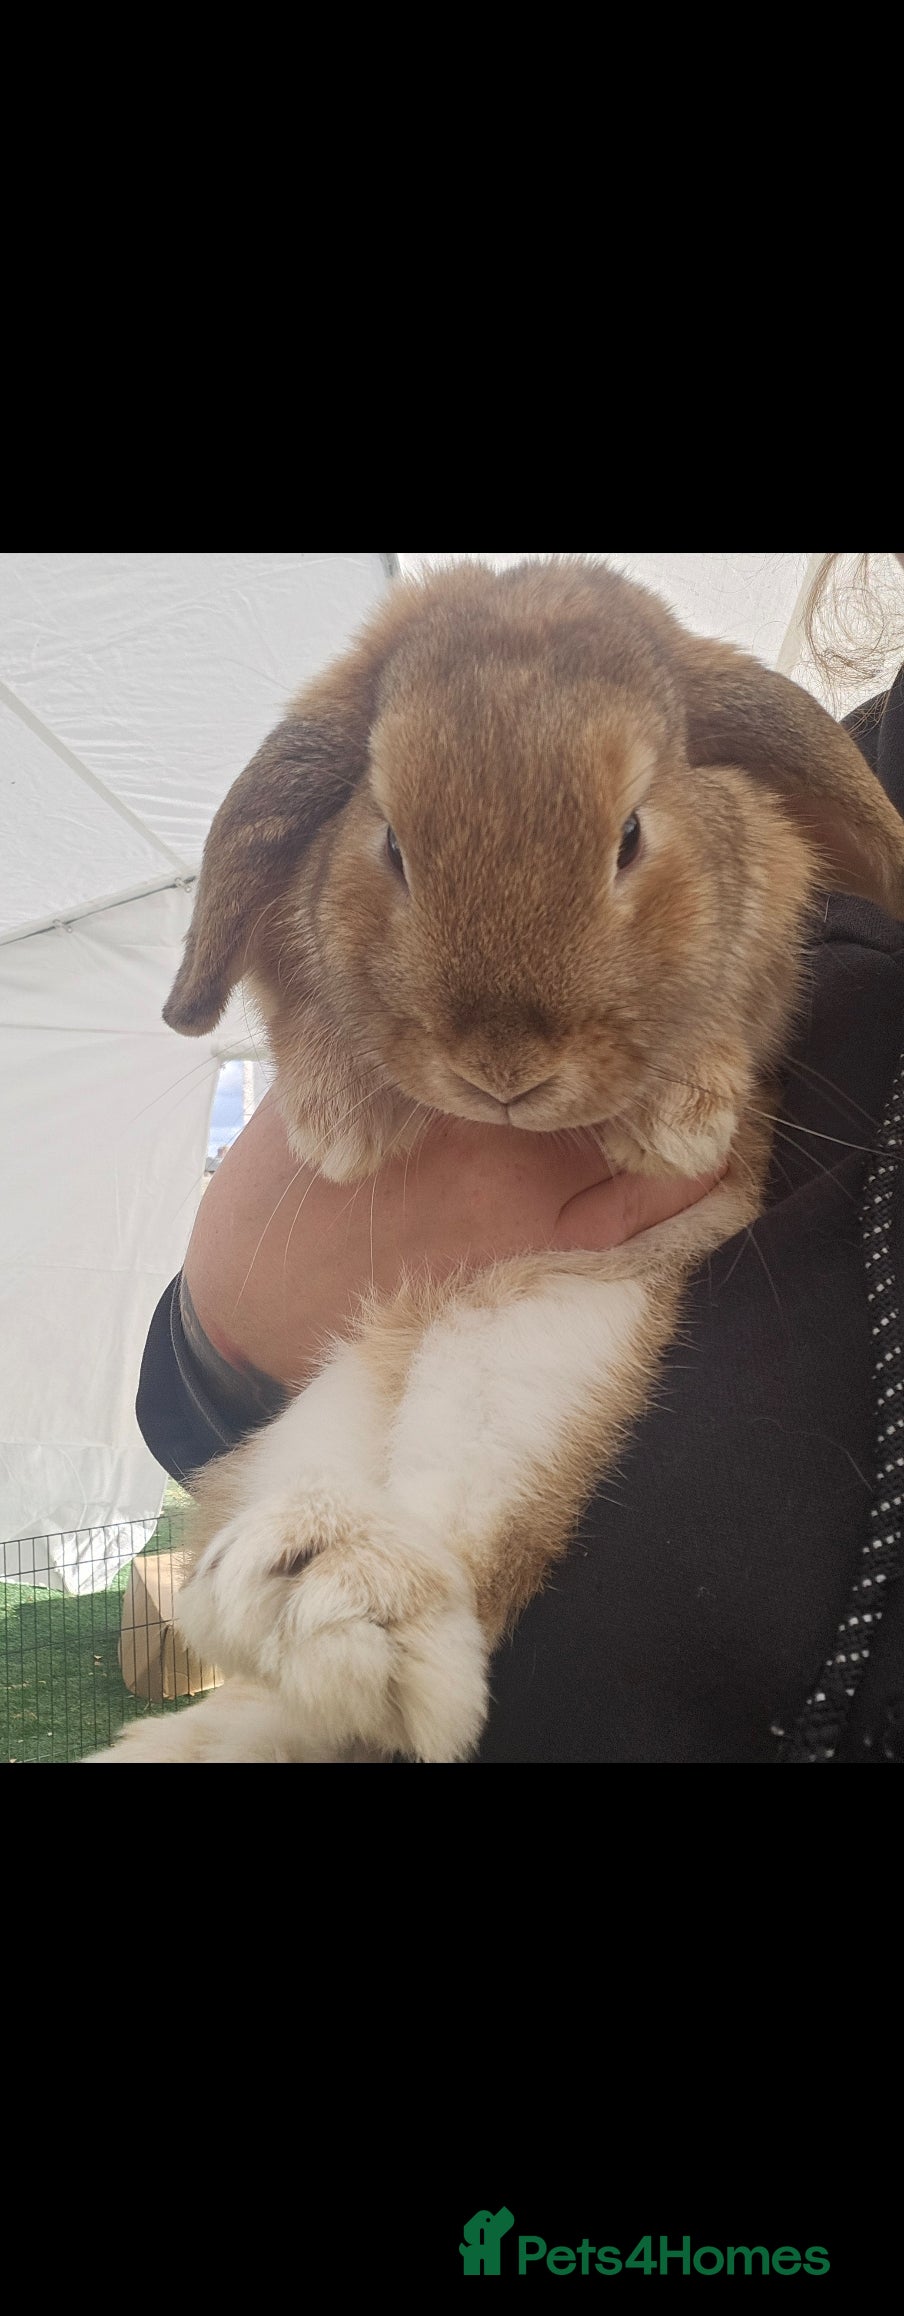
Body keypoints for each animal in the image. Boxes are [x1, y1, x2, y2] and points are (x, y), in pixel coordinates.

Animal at [88, 557, 904, 1762]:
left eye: (630, 835)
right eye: (390, 843)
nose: (503, 1069)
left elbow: (725, 1032)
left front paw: (685, 1118)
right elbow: (306, 1021)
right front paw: (338, 1127)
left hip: (543, 1360)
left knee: (451, 1603)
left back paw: (351, 1605)